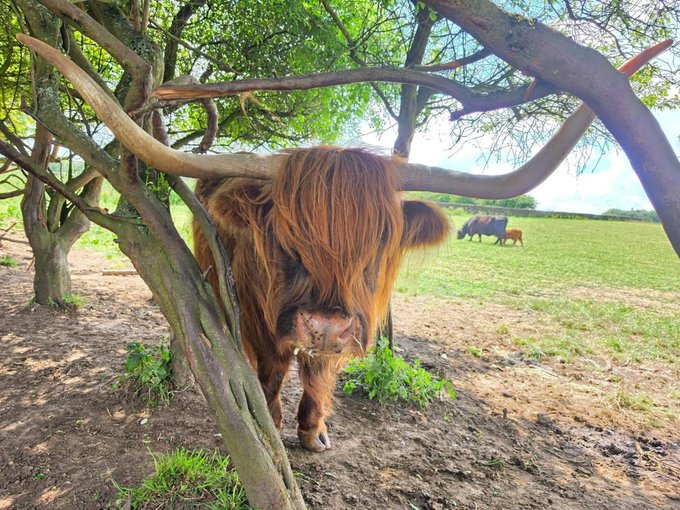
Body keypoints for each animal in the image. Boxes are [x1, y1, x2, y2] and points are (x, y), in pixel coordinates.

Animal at [193, 147, 450, 451]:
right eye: (286, 238)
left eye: (380, 239)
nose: (326, 328)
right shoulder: (260, 327)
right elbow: (272, 375)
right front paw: (271, 424)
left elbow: (319, 378)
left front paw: (312, 431)